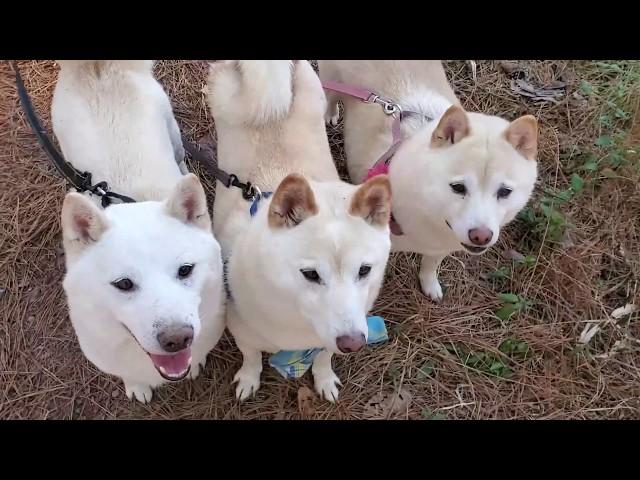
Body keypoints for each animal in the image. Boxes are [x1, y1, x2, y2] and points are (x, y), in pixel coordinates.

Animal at [53, 61, 226, 404]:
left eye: (185, 270)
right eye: (123, 284)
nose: (178, 339)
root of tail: (97, 69)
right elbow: (130, 375)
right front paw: (137, 386)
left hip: (172, 129)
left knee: (180, 156)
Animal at [208, 61, 392, 404]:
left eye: (364, 270)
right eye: (310, 274)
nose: (353, 343)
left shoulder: (327, 340)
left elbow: (323, 357)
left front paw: (325, 379)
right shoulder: (242, 332)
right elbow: (251, 357)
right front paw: (249, 379)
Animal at [318, 60, 536, 300]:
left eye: (505, 192)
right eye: (457, 187)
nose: (481, 236)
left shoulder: (441, 245)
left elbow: (430, 265)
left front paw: (430, 285)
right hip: (330, 79)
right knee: (330, 97)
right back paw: (329, 114)